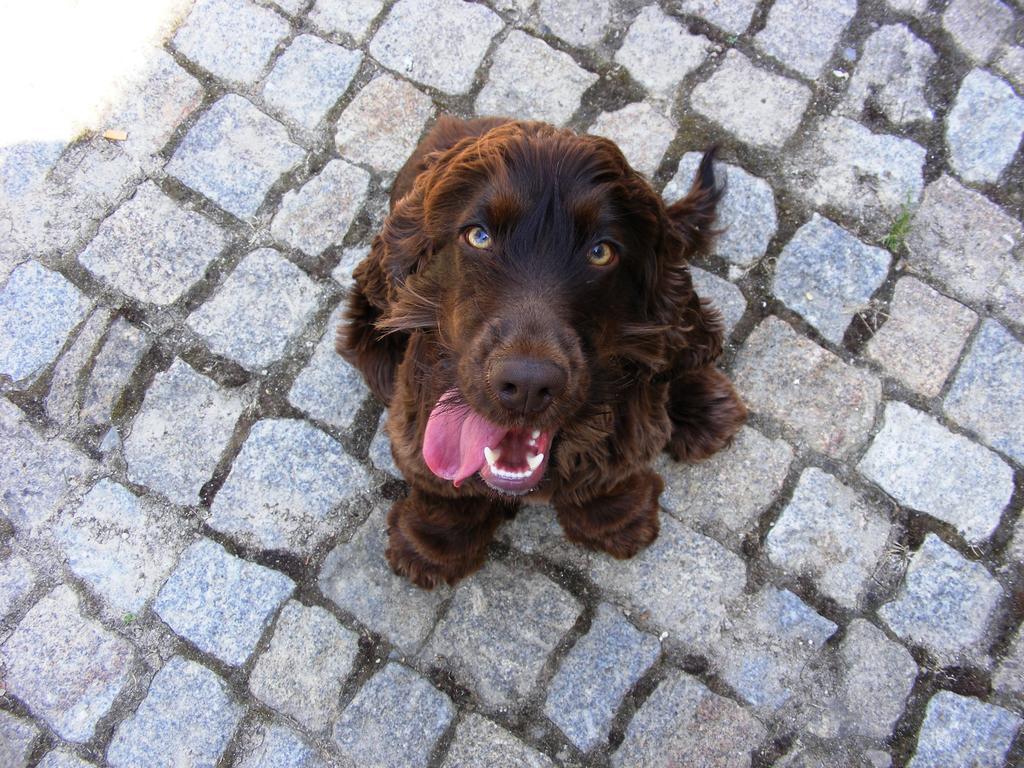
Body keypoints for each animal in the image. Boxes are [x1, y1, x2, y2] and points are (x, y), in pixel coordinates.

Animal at [335, 117, 745, 589]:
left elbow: (610, 469)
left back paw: (705, 408)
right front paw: (432, 546)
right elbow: (442, 486)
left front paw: (615, 517)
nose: (528, 384)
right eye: (478, 236)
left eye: (601, 251)